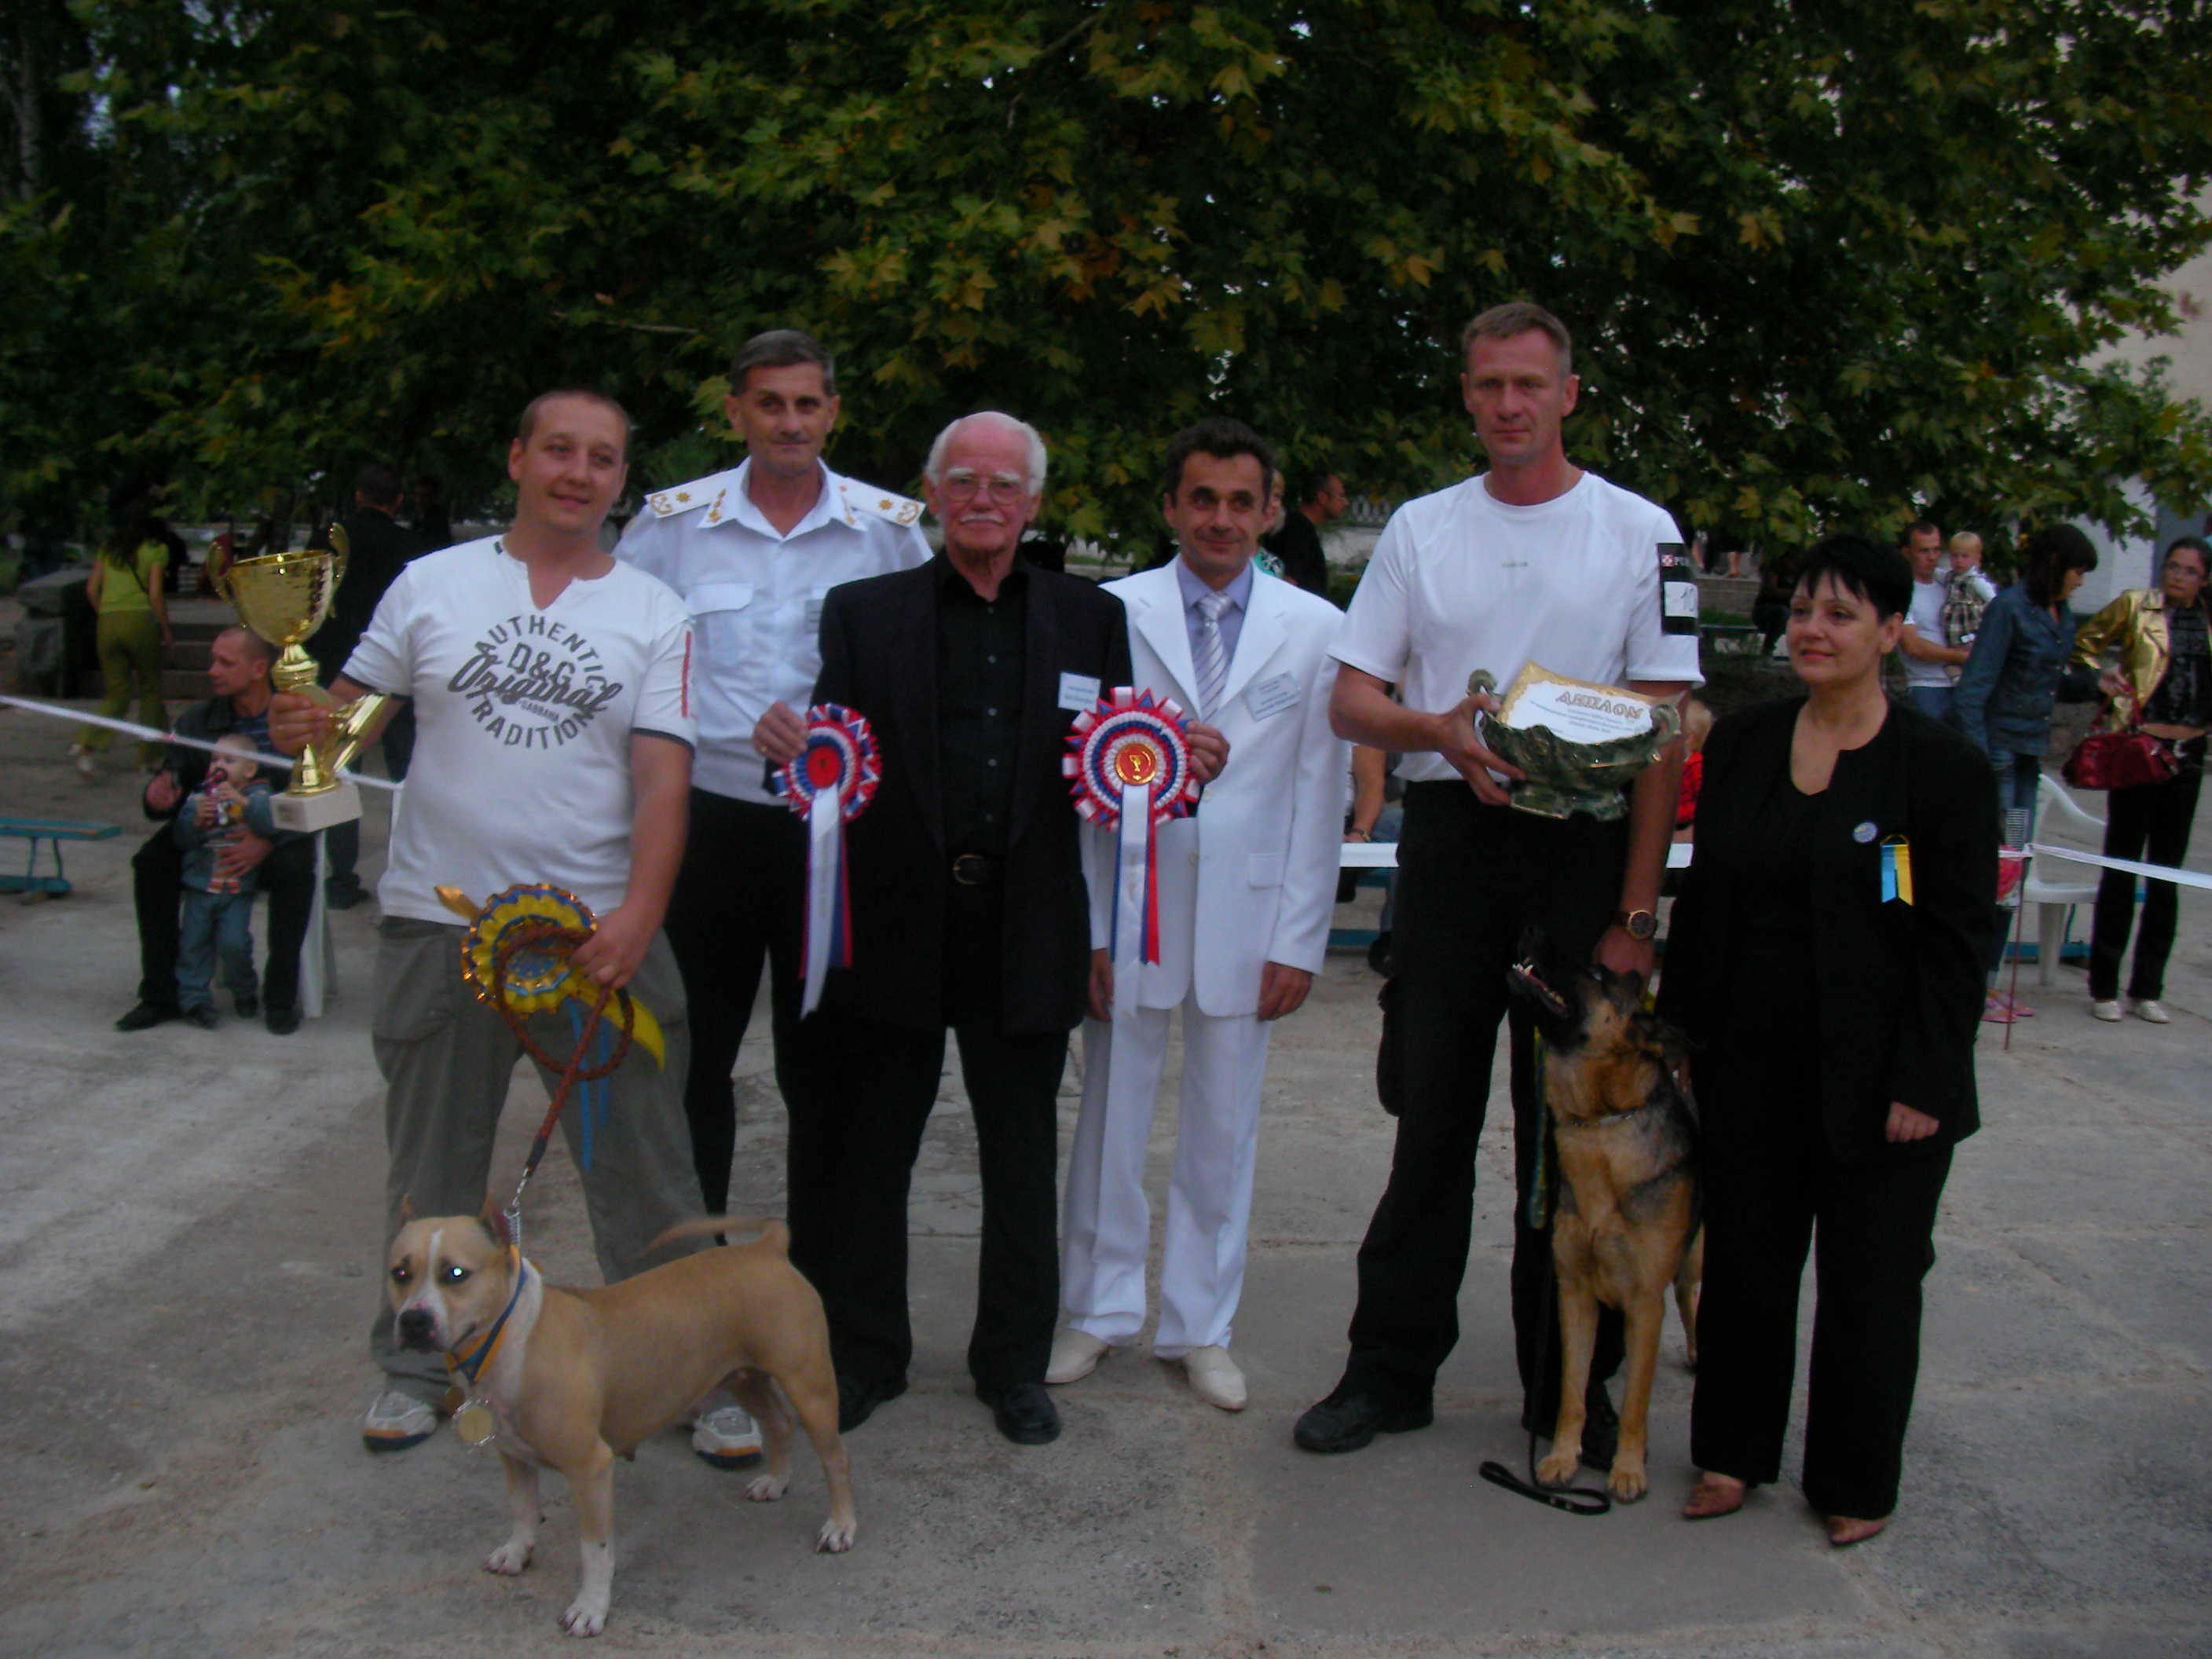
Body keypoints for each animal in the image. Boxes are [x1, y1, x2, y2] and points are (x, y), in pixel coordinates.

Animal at [386, 1208, 856, 1637]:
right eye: (400, 1272)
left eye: (456, 1273)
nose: (413, 1320)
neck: (511, 1335)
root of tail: (766, 1249)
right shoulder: (513, 1456)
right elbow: (522, 1509)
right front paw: (516, 1552)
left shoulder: (589, 1468)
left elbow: (593, 1548)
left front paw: (590, 1609)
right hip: (743, 1378)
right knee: (779, 1423)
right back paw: (775, 1482)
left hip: (809, 1387)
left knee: (835, 1458)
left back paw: (840, 1527)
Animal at [1507, 933, 1702, 1502]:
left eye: (1596, 974)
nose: (1531, 927)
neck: (1599, 1125)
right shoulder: (1573, 1294)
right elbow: (1572, 1388)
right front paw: (1559, 1457)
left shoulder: (1644, 1306)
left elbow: (1636, 1403)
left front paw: (1628, 1469)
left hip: (1696, 1257)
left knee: (1690, 1295)